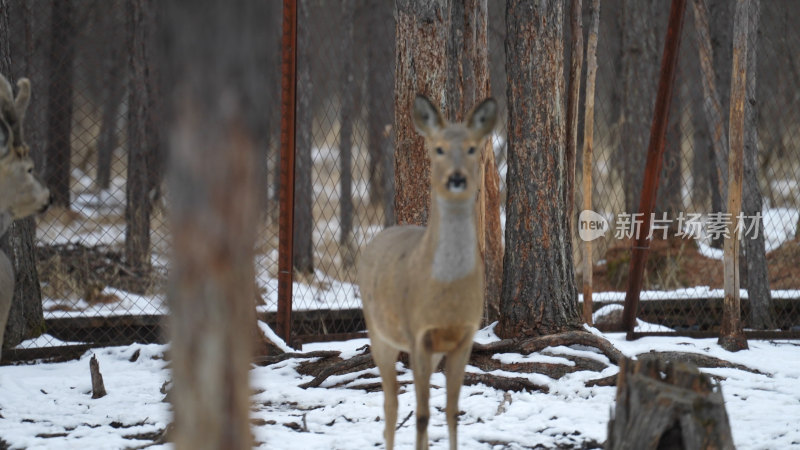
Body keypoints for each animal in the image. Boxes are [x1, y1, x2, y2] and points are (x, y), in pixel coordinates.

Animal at [360, 95, 496, 450]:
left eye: (473, 148)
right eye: (439, 148)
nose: (457, 178)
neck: (446, 292)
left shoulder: (464, 335)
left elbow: (451, 412)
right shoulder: (417, 332)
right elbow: (421, 415)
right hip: (378, 330)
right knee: (391, 402)